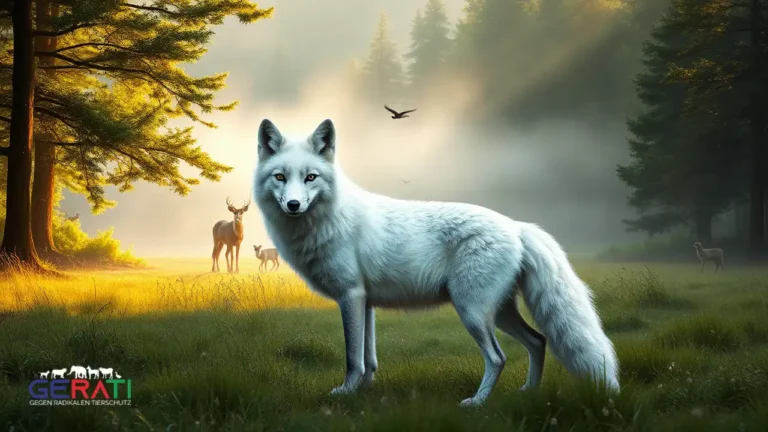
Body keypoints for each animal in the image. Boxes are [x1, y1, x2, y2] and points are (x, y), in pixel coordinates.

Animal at [252, 118, 620, 406]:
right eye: (280, 177)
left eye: (311, 177)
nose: (294, 205)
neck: (329, 221)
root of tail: (516, 226)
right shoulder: (365, 301)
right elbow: (369, 359)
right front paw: (364, 394)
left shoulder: (351, 296)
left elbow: (352, 358)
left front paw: (345, 393)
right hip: (498, 313)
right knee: (539, 341)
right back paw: (528, 392)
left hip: (472, 312)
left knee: (499, 357)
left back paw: (477, 403)